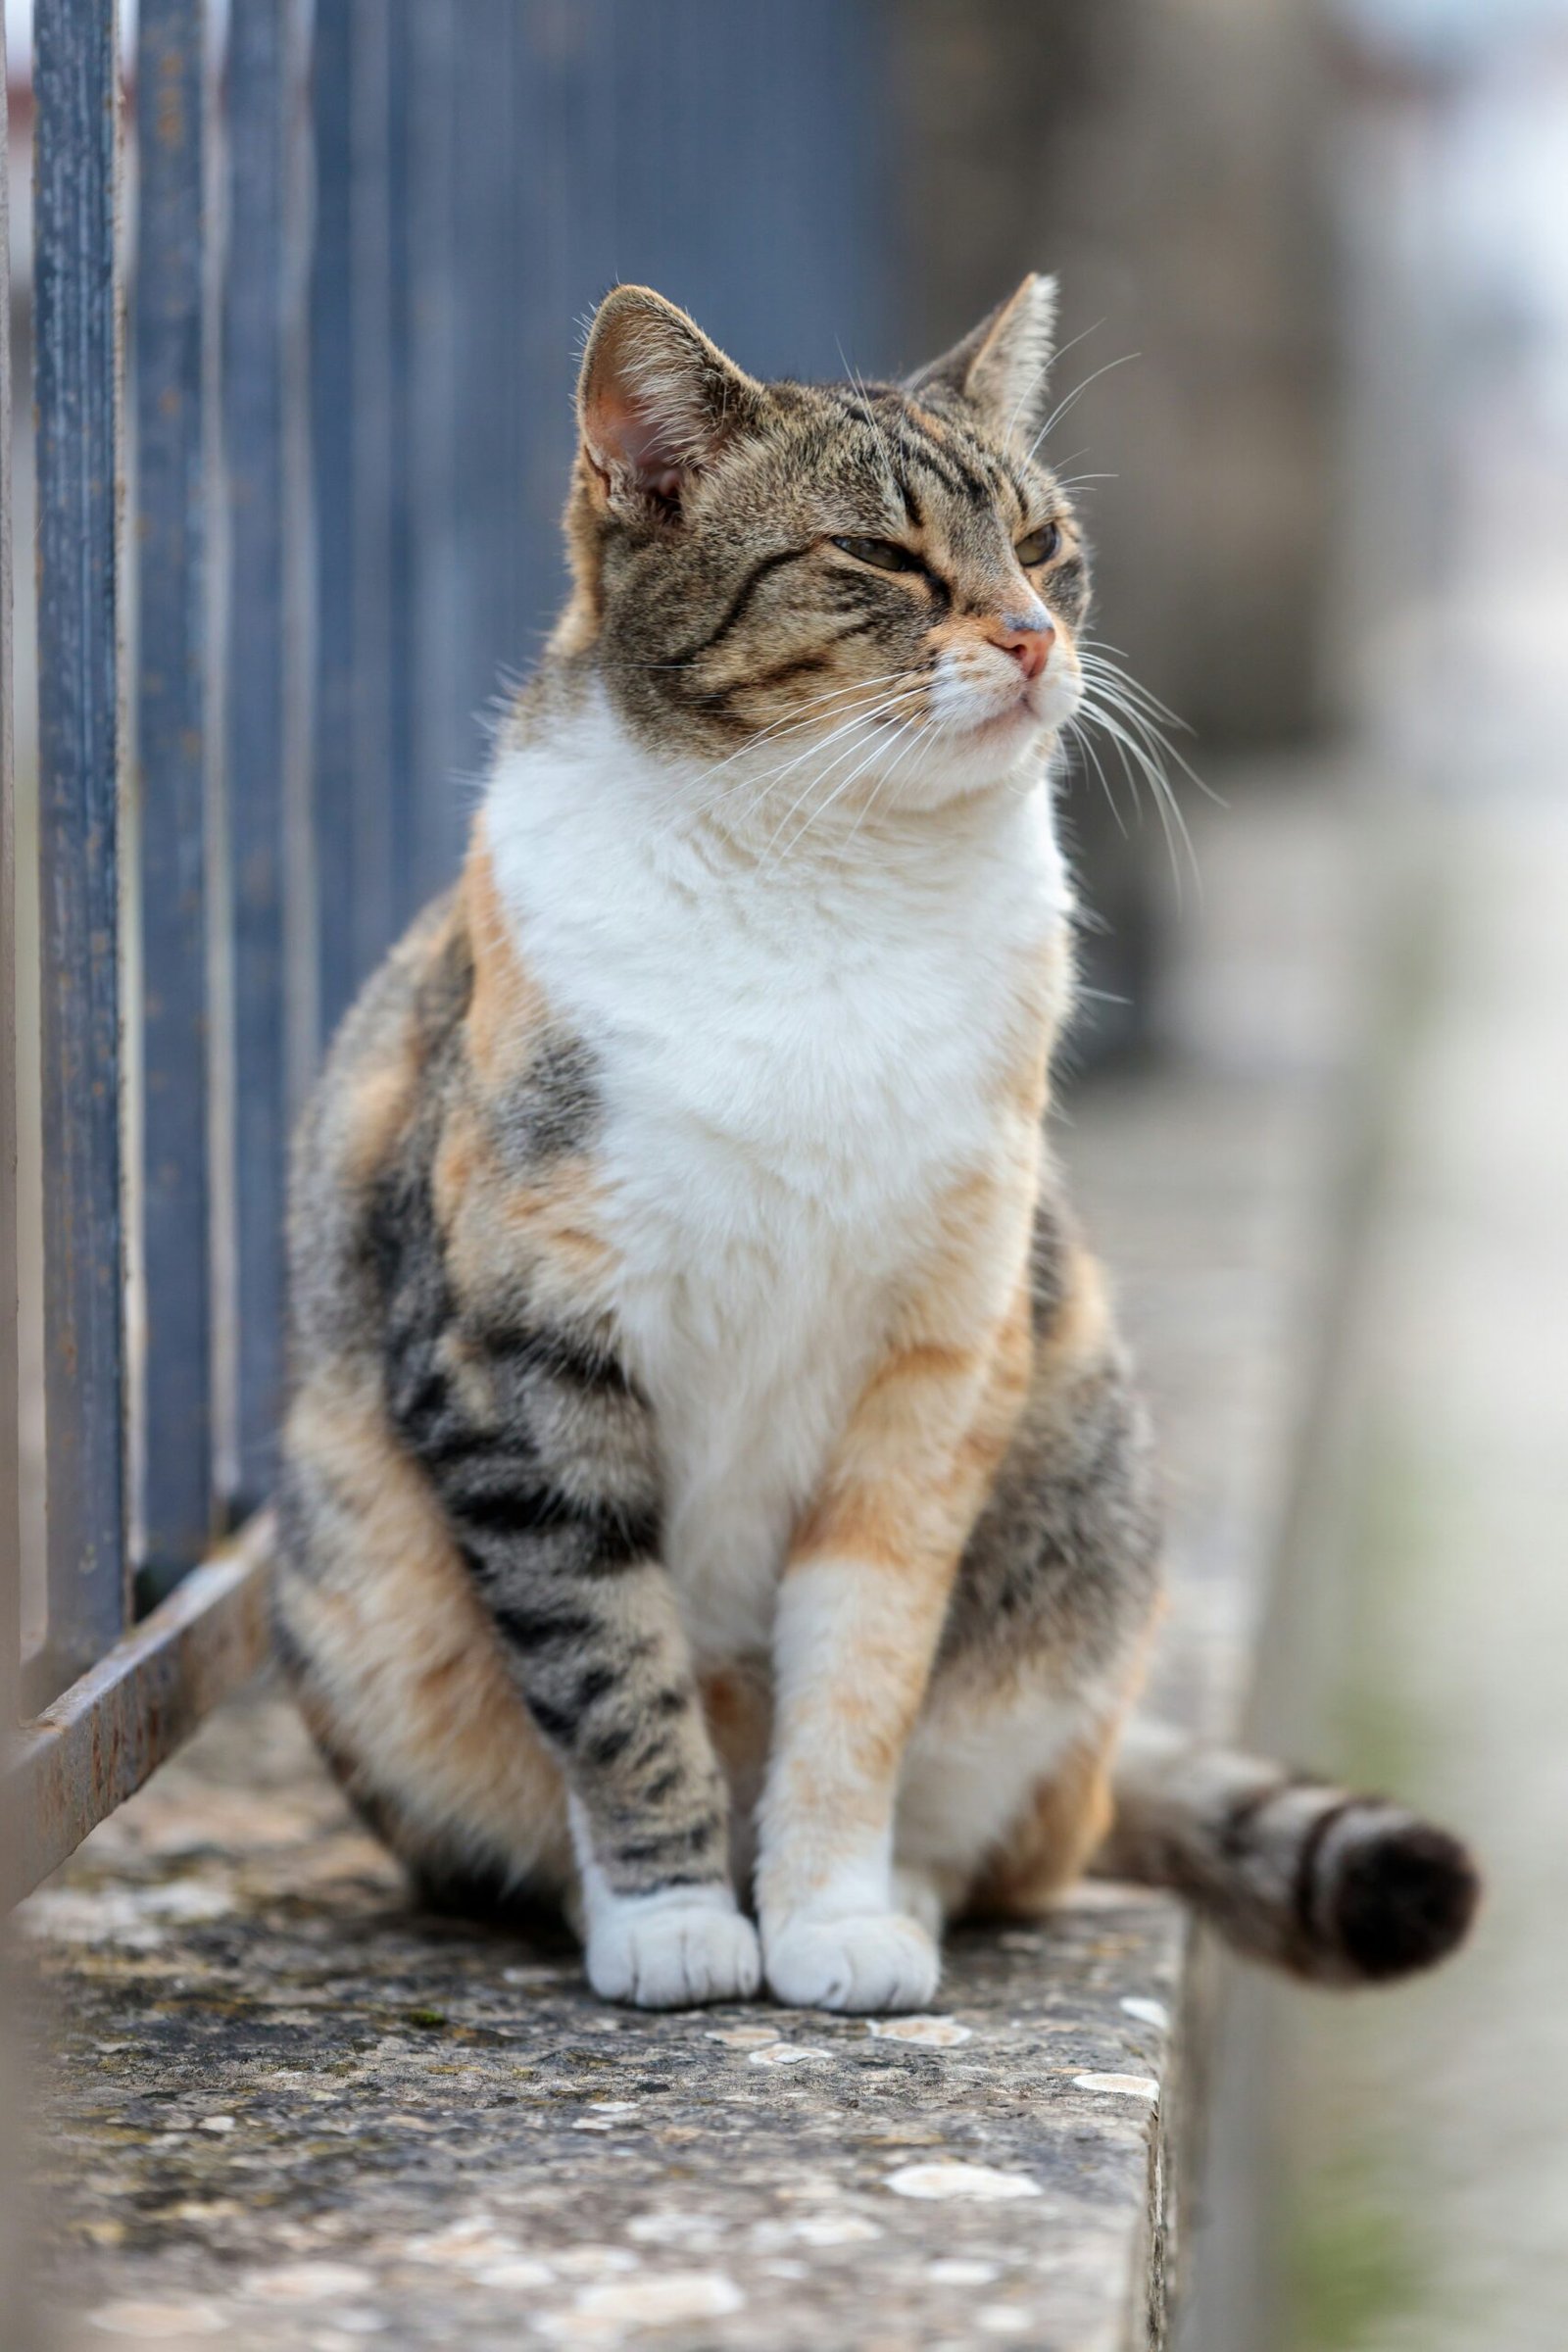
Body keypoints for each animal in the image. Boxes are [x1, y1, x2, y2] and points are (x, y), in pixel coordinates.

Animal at [272, 274, 1486, 2003]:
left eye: (1042, 543)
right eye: (883, 558)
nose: (1037, 633)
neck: (828, 877)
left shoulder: (935, 1365)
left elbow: (863, 1674)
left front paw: (835, 1918)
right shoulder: (517, 1364)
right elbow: (611, 1671)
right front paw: (675, 1920)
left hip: (1080, 1532)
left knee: (1012, 1833)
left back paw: (902, 1892)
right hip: (357, 1605)